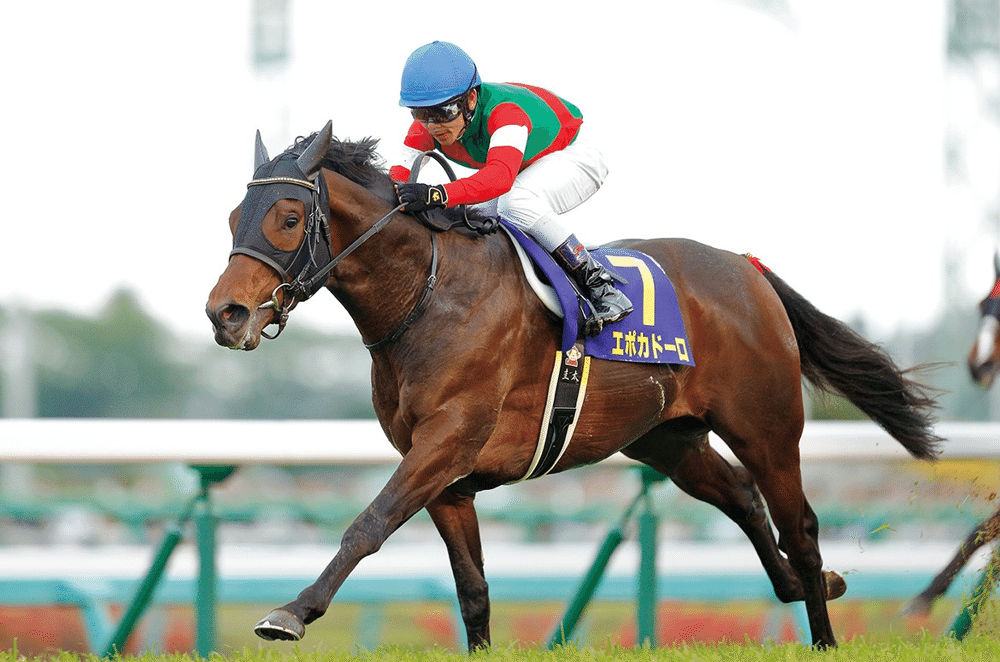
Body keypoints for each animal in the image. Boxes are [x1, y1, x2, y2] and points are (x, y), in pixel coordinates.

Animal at [205, 121, 941, 649]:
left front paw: (291, 612)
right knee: (740, 496)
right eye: (234, 216)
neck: (428, 294)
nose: (224, 314)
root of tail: (745, 265)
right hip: (667, 439)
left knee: (802, 526)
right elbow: (472, 587)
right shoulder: (441, 470)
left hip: (766, 425)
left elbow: (368, 524)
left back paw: (822, 632)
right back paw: (809, 586)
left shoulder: (448, 440)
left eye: (288, 219)